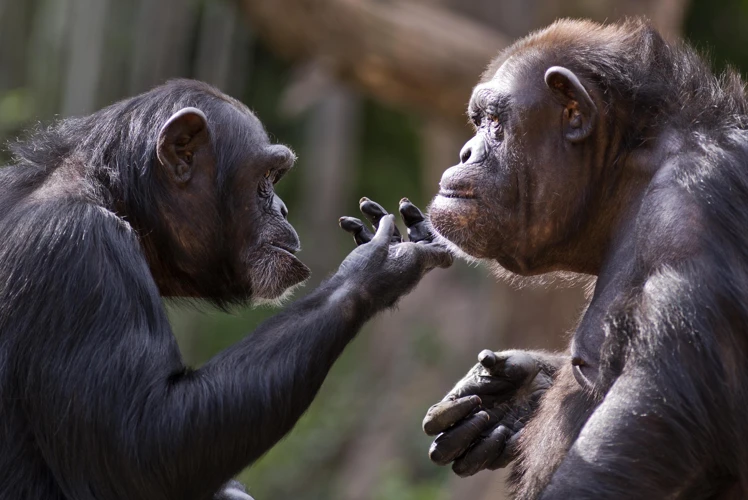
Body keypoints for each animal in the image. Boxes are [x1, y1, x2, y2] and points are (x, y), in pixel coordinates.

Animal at [0, 79, 450, 500]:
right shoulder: (78, 249)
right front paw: (375, 265)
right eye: (265, 178)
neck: (115, 198)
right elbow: (140, 446)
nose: (283, 208)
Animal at [420, 17, 748, 498]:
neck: (628, 172)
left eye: (495, 122)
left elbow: (659, 413)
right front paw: (513, 395)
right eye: (478, 121)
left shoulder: (691, 213)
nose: (466, 152)